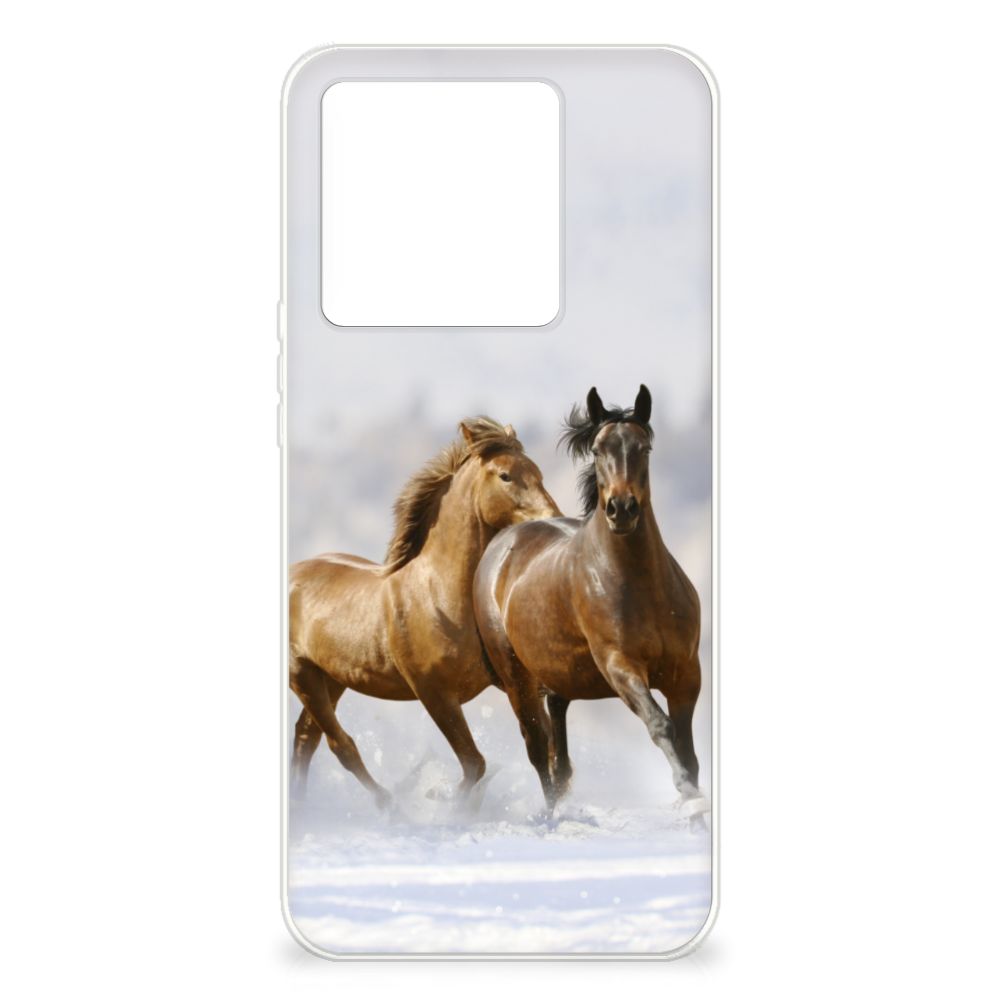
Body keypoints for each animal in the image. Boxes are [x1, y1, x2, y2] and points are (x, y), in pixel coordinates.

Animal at [289, 417, 560, 808]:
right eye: (505, 475)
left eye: (538, 472)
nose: (553, 519)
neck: (439, 597)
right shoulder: (434, 693)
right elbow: (475, 763)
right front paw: (443, 801)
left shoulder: (514, 682)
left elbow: (540, 747)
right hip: (302, 675)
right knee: (340, 745)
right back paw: (388, 805)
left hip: (332, 678)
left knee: (305, 738)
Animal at [473, 386, 708, 817]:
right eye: (598, 450)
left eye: (644, 447)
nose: (621, 509)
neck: (642, 587)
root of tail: (502, 543)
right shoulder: (620, 666)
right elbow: (660, 726)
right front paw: (687, 794)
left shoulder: (686, 673)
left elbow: (688, 748)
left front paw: (696, 807)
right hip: (517, 679)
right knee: (537, 748)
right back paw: (551, 816)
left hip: (557, 676)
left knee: (558, 749)